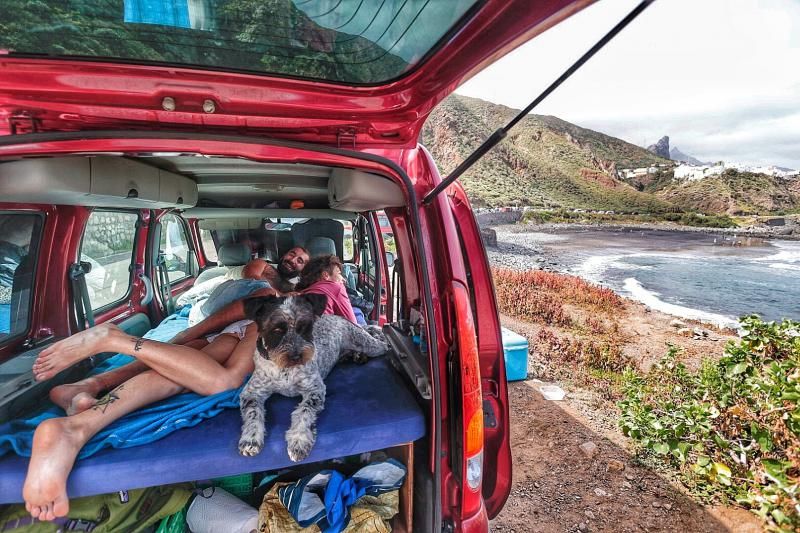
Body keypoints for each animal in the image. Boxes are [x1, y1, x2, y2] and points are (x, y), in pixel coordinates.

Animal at [238, 294, 388, 460]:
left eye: (305, 326)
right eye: (276, 329)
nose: (297, 356)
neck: (285, 370)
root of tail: (340, 317)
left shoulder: (314, 390)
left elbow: (304, 411)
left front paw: (299, 441)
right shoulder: (251, 393)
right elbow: (252, 412)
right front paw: (250, 439)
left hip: (368, 344)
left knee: (385, 345)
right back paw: (356, 355)